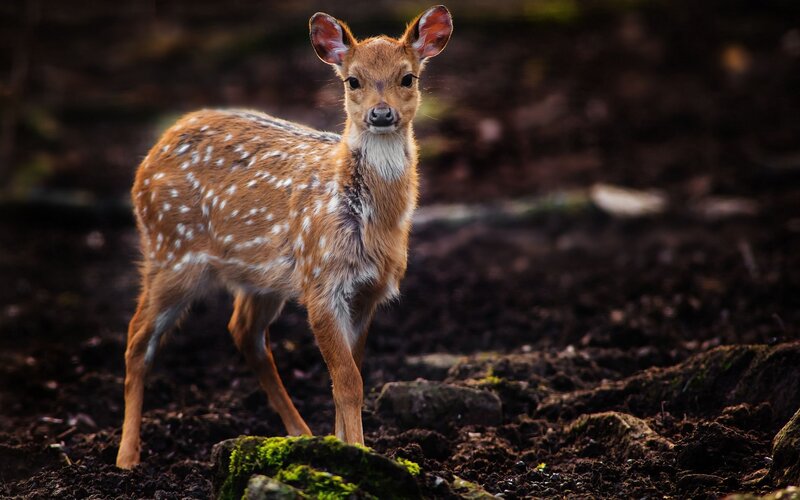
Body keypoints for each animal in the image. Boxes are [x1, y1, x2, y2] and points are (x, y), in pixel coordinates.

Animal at [115, 6, 453, 468]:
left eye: (408, 77)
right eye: (353, 80)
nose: (381, 114)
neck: (370, 221)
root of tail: (153, 151)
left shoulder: (367, 292)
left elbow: (350, 375)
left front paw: (341, 446)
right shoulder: (320, 281)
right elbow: (348, 380)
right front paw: (358, 452)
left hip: (259, 276)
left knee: (243, 331)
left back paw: (301, 434)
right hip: (171, 250)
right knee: (137, 340)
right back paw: (126, 458)